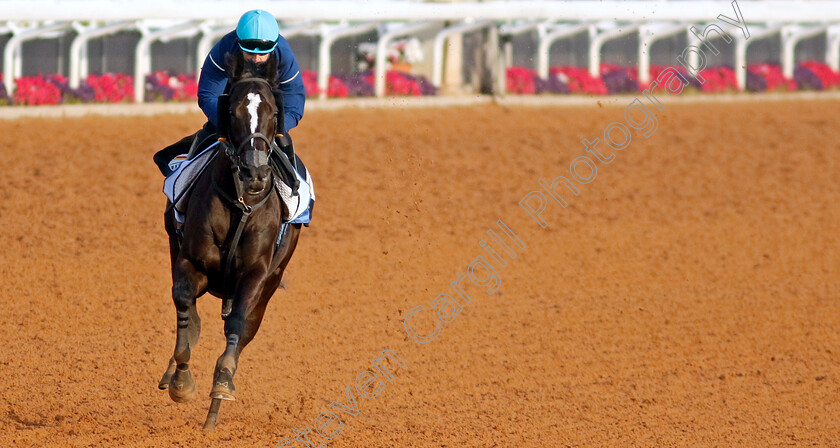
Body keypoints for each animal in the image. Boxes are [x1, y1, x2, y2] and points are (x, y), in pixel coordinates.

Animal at [158, 52, 302, 430]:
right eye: (234, 112)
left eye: (273, 112)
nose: (255, 174)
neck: (242, 203)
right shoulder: (190, 261)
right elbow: (184, 309)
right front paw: (181, 381)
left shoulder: (256, 274)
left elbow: (237, 324)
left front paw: (221, 384)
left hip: (272, 281)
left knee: (245, 328)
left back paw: (214, 412)